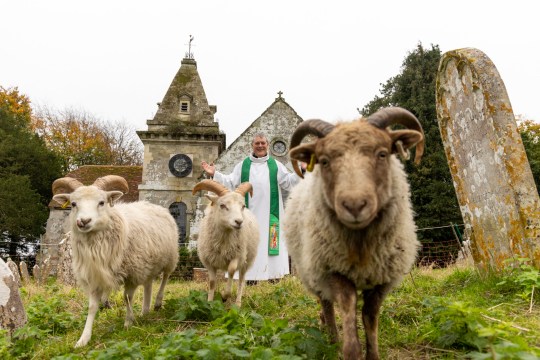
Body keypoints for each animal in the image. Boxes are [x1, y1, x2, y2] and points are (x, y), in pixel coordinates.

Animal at [51, 176, 178, 348]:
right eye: (73, 204)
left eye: (102, 202)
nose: (83, 221)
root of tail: (150, 204)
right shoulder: (94, 276)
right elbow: (92, 307)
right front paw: (84, 339)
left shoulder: (132, 272)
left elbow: (127, 298)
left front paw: (128, 322)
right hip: (148, 263)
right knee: (148, 284)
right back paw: (145, 311)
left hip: (170, 257)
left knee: (165, 277)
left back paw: (157, 303)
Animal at [282, 107, 426, 360]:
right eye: (324, 161)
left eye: (382, 154)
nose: (354, 205)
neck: (361, 246)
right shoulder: (333, 269)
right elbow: (348, 310)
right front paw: (349, 350)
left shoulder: (382, 279)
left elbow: (370, 317)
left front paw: (373, 355)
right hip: (313, 270)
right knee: (326, 304)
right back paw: (331, 339)